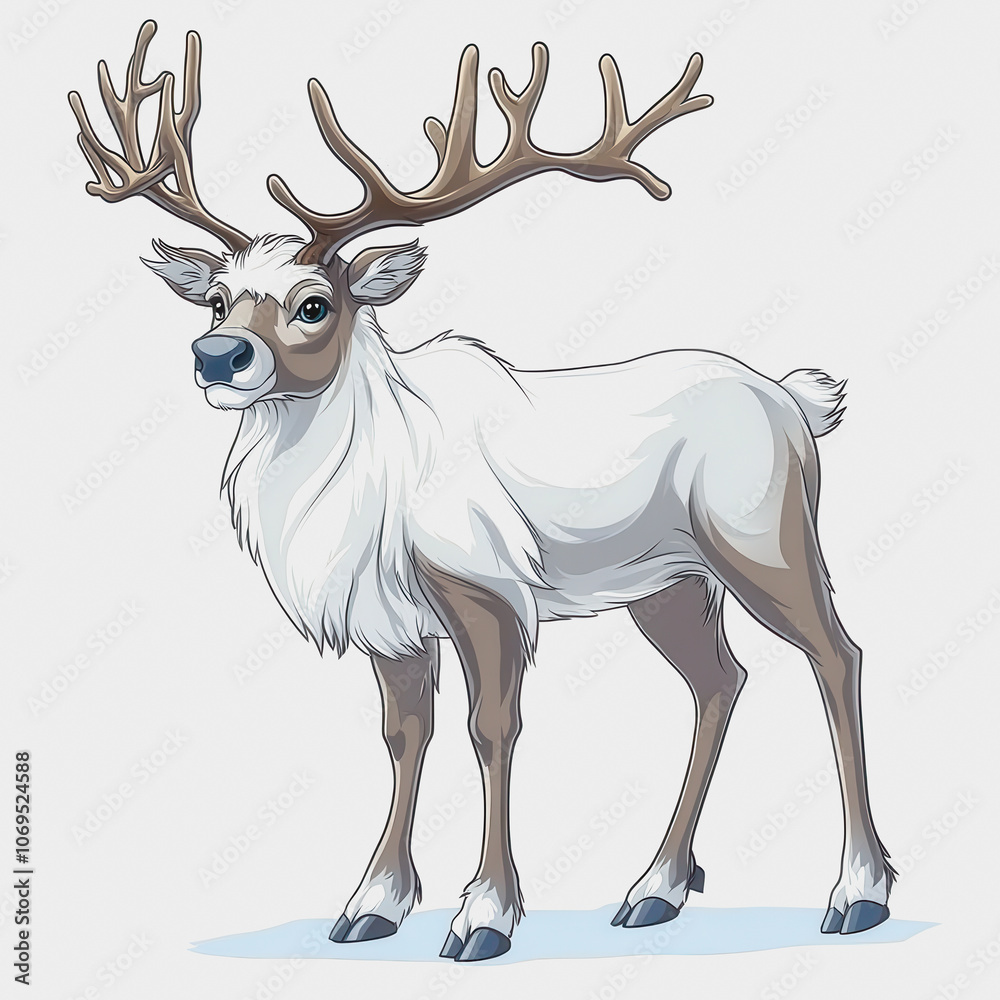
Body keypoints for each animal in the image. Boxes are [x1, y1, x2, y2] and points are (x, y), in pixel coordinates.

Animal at [69, 21, 895, 962]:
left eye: (315, 303)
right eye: (215, 300)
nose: (217, 357)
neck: (366, 489)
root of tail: (795, 401)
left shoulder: (486, 589)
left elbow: (490, 732)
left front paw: (485, 914)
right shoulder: (388, 622)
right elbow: (404, 736)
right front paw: (372, 903)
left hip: (764, 541)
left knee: (837, 655)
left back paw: (858, 891)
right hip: (668, 583)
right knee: (720, 681)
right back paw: (657, 886)